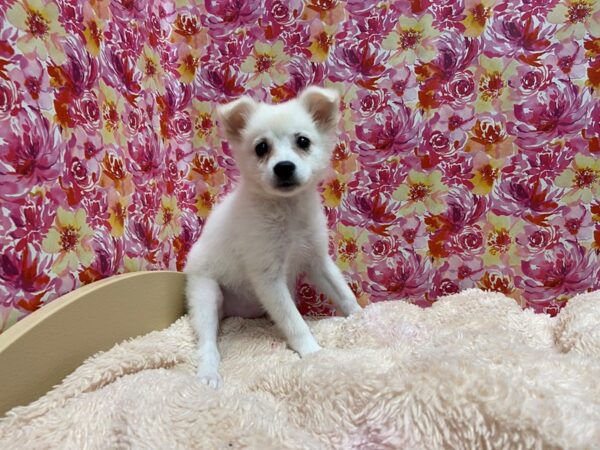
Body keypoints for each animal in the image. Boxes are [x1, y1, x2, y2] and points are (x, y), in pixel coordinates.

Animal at [183, 86, 360, 388]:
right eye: (261, 148)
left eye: (303, 141)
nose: (284, 167)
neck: (287, 211)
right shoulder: (268, 277)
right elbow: (294, 321)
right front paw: (313, 353)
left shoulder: (317, 259)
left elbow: (344, 293)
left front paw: (364, 316)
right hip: (206, 293)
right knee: (208, 342)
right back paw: (209, 373)